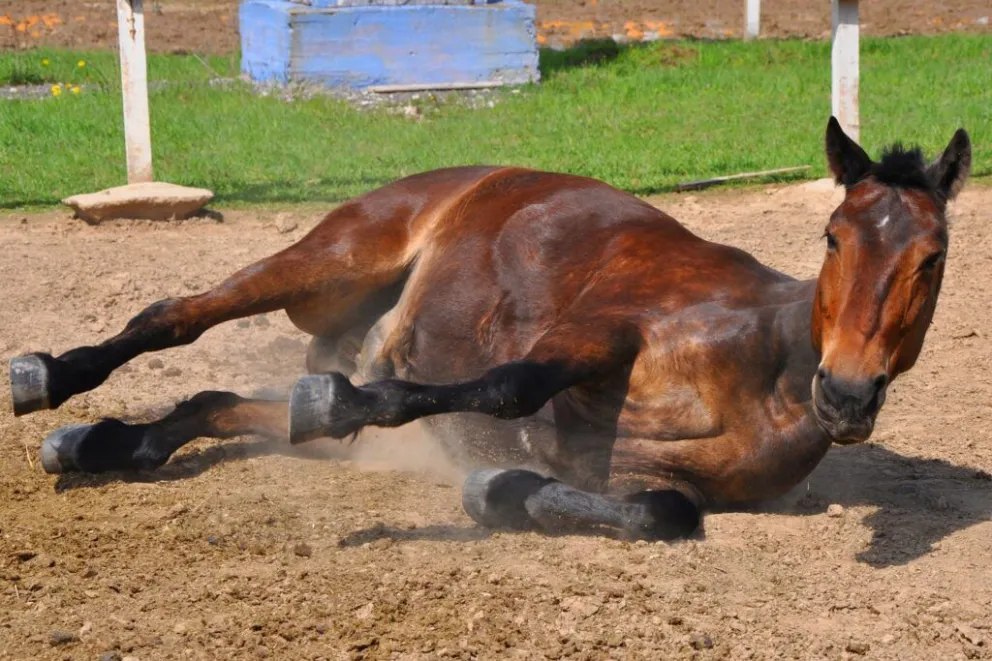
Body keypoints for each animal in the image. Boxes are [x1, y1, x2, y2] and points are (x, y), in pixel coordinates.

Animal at [9, 117, 971, 541]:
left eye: (933, 257)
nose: (844, 395)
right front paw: (347, 402)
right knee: (175, 317)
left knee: (214, 401)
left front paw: (504, 489)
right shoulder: (601, 329)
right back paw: (51, 378)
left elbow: (661, 511)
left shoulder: (667, 482)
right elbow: (509, 383)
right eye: (833, 235)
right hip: (331, 263)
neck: (763, 367)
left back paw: (102, 443)